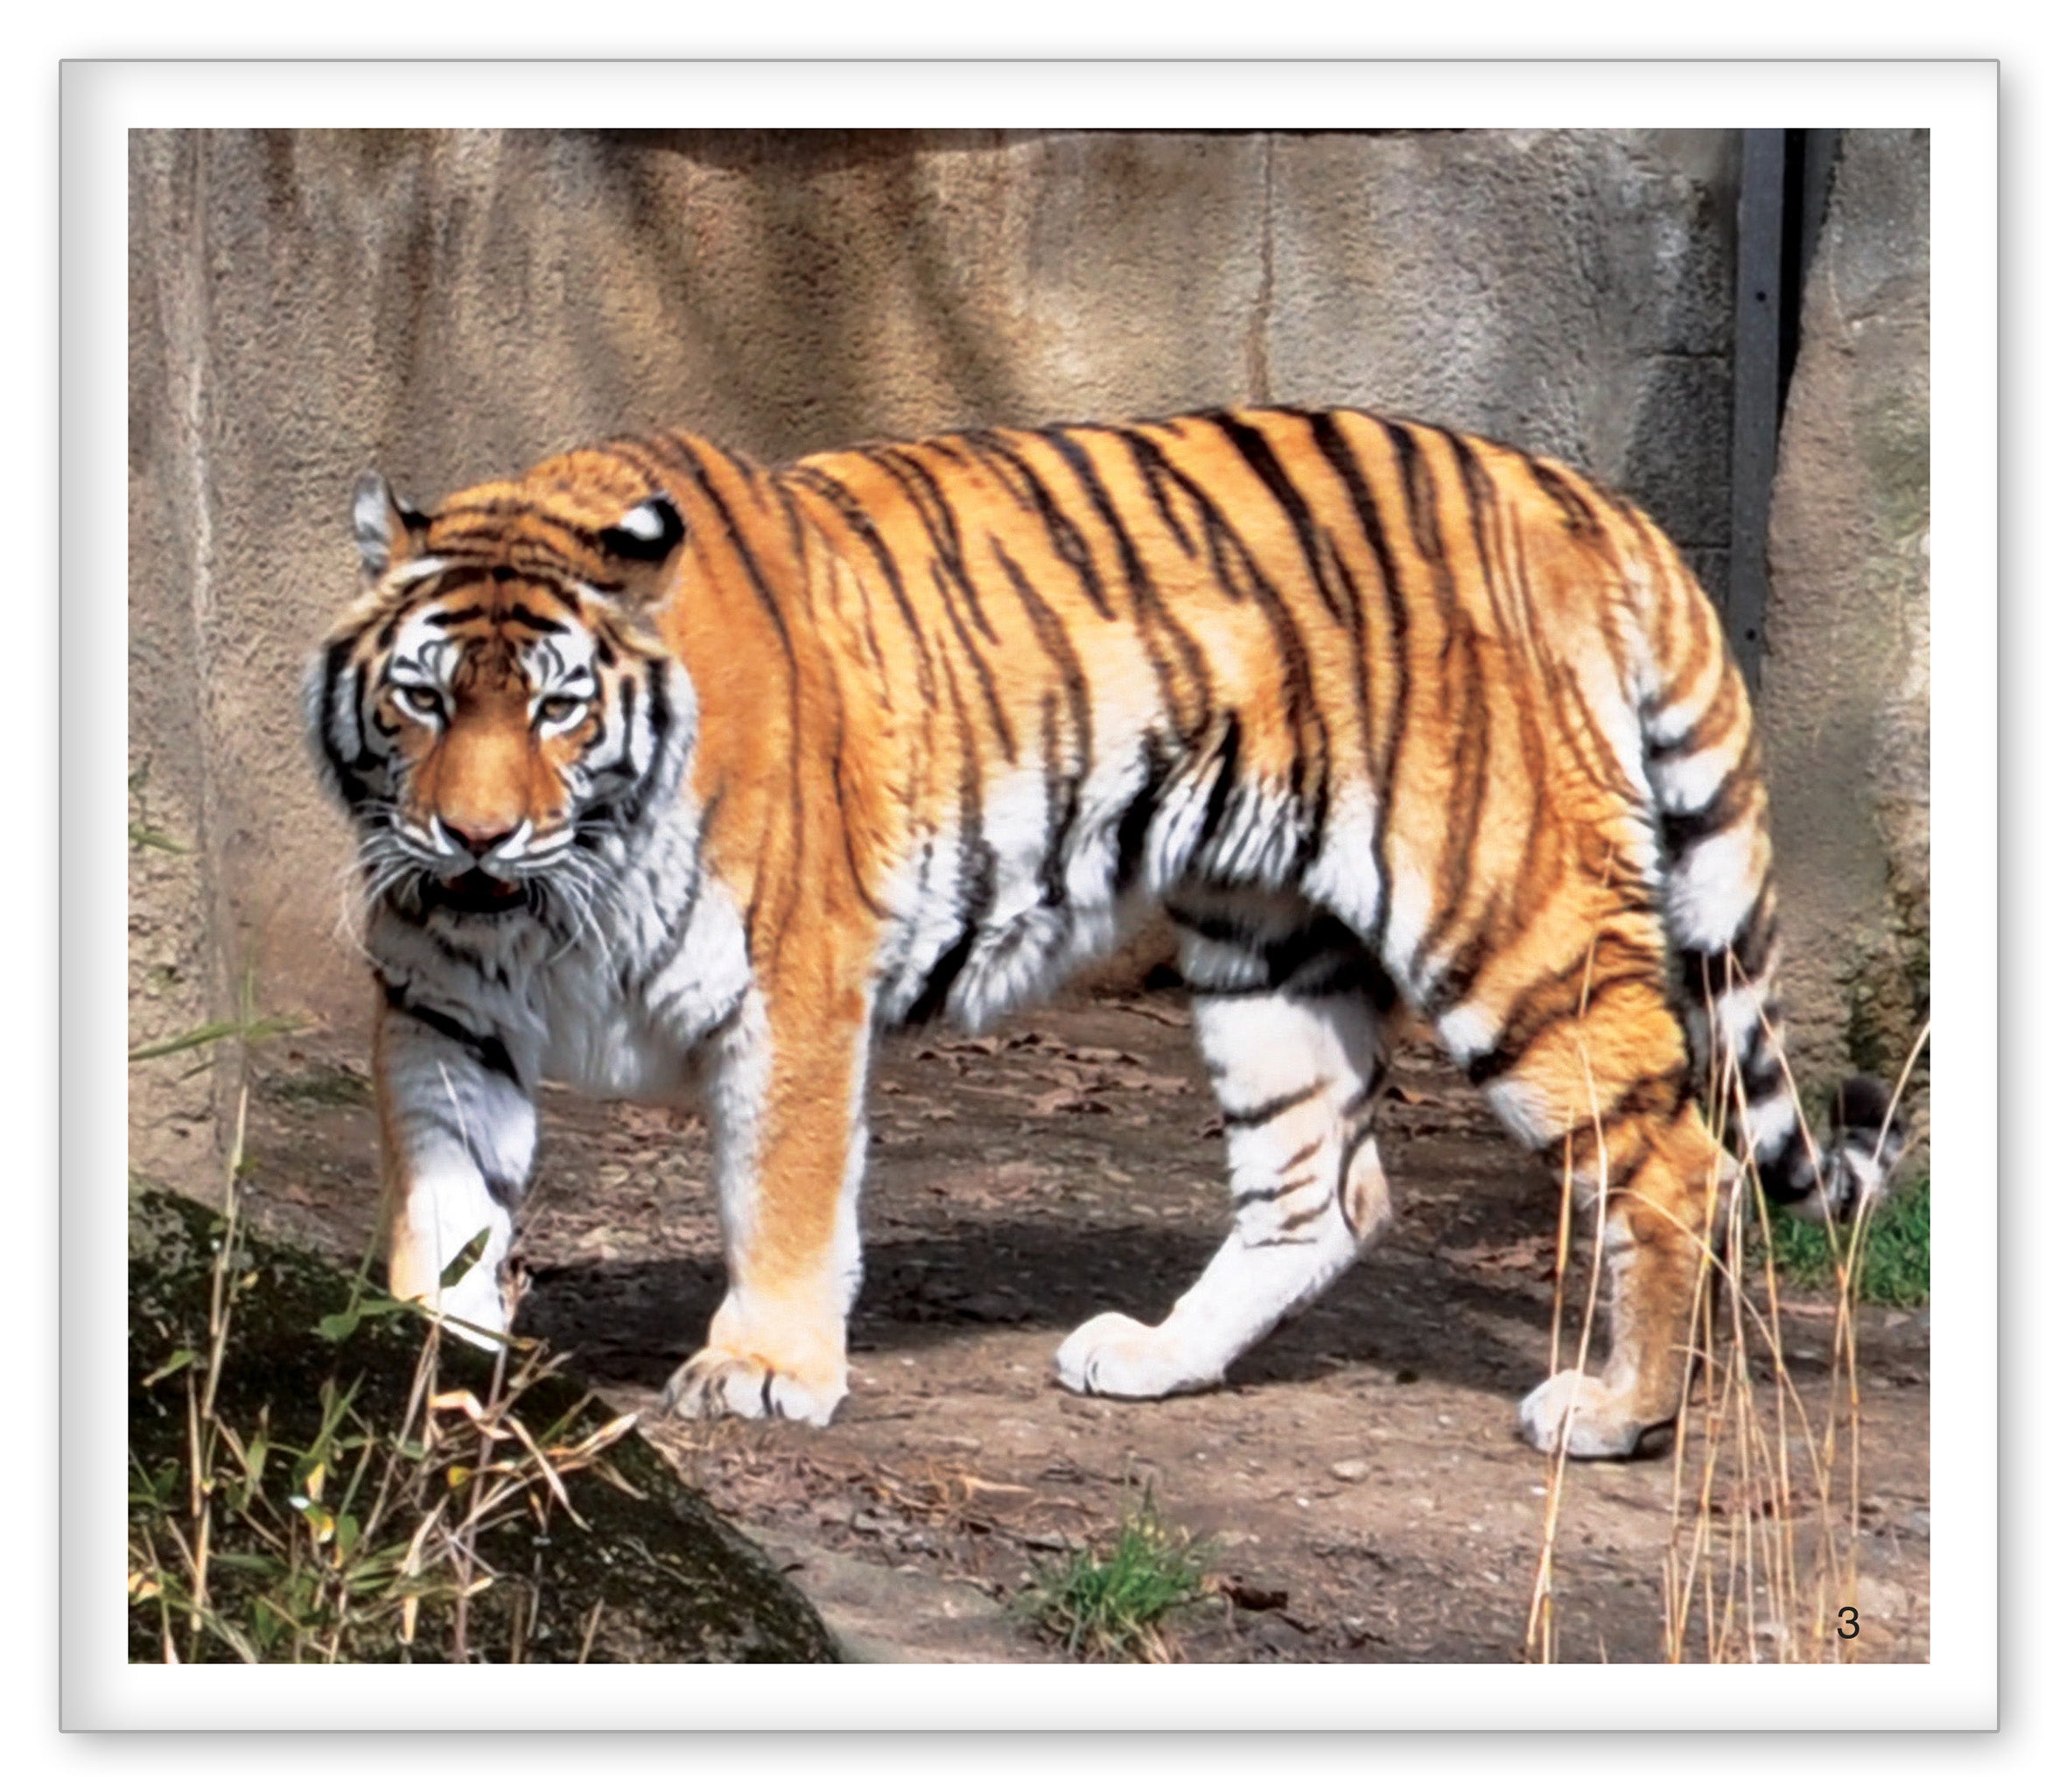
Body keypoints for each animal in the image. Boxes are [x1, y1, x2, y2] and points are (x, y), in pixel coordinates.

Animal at [306, 405, 1901, 1460]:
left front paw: (761, 1369)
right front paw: (416, 1350)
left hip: (1502, 918)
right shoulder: (444, 1009)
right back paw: (1156, 1357)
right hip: (1267, 942)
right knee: (1325, 1188)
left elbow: (782, 1192)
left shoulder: (791, 992)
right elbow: (446, 1201)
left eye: (558, 709)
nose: (473, 839)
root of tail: (1578, 494)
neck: (548, 900)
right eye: (426, 698)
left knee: (1679, 1159)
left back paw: (1618, 1412)